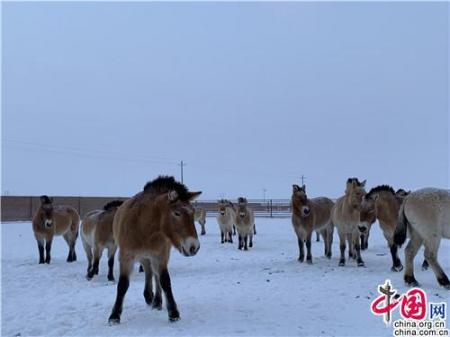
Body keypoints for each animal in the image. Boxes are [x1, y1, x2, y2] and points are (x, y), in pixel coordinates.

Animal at [108, 176, 201, 322]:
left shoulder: (160, 255)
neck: (144, 226)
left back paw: (156, 300)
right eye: (177, 213)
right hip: (143, 257)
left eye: (193, 213)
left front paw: (173, 312)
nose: (194, 247)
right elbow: (123, 284)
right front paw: (114, 315)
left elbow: (165, 281)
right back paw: (149, 296)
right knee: (149, 271)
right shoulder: (126, 256)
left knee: (155, 275)